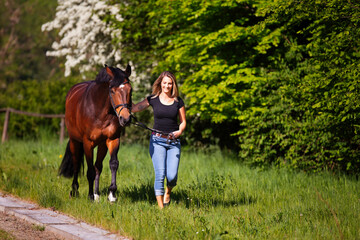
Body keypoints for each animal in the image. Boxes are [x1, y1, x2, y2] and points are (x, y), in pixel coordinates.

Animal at [59, 64, 132, 202]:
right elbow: (90, 171)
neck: (100, 111)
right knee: (76, 164)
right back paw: (75, 191)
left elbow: (113, 164)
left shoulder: (113, 139)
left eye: (130, 90)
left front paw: (112, 194)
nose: (125, 119)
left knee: (98, 166)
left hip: (102, 145)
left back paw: (97, 194)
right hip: (74, 141)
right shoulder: (88, 143)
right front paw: (90, 196)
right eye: (112, 91)